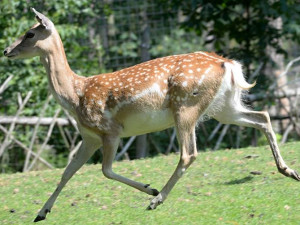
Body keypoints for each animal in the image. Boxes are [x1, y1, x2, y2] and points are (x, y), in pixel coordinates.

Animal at [2, 7, 300, 222]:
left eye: (29, 33)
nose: (6, 51)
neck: (76, 95)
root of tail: (228, 64)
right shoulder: (89, 137)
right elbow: (67, 172)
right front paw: (41, 213)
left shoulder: (109, 130)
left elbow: (106, 171)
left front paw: (151, 188)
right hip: (223, 107)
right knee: (263, 116)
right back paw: (288, 170)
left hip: (185, 106)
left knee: (189, 153)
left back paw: (156, 200)